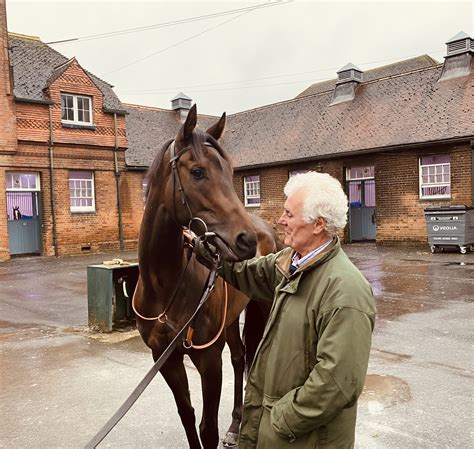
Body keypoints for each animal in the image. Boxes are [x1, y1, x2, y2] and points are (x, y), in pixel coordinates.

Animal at [134, 105, 278, 448]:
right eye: (198, 172)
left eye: (230, 170)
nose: (246, 240)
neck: (165, 287)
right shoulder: (165, 358)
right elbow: (187, 416)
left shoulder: (209, 361)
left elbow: (207, 428)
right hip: (230, 320)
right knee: (239, 358)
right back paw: (236, 425)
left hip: (262, 310)